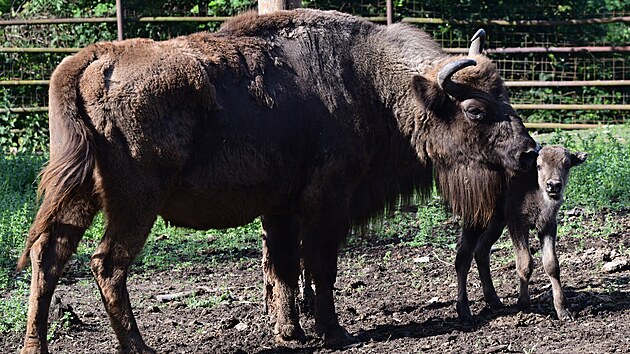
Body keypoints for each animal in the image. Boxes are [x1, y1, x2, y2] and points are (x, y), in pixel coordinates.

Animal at [17, 9, 540, 354]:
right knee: (107, 265)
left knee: (49, 255)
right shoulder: (326, 203)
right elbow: (320, 267)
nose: (528, 152)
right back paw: (138, 348)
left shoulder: (282, 208)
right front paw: (332, 332)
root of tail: (92, 57)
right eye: (474, 109)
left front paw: (290, 331)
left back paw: (34, 347)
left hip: (80, 194)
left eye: (505, 93)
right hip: (134, 201)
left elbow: (284, 268)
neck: (375, 84)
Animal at [460, 144, 588, 324]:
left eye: (567, 165)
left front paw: (563, 311)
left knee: (481, 252)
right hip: (476, 221)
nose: (553, 185)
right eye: (538, 165)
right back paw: (464, 312)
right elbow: (525, 263)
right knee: (463, 257)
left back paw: (495, 301)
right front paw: (523, 304)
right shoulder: (518, 225)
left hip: (496, 224)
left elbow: (552, 265)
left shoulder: (548, 225)